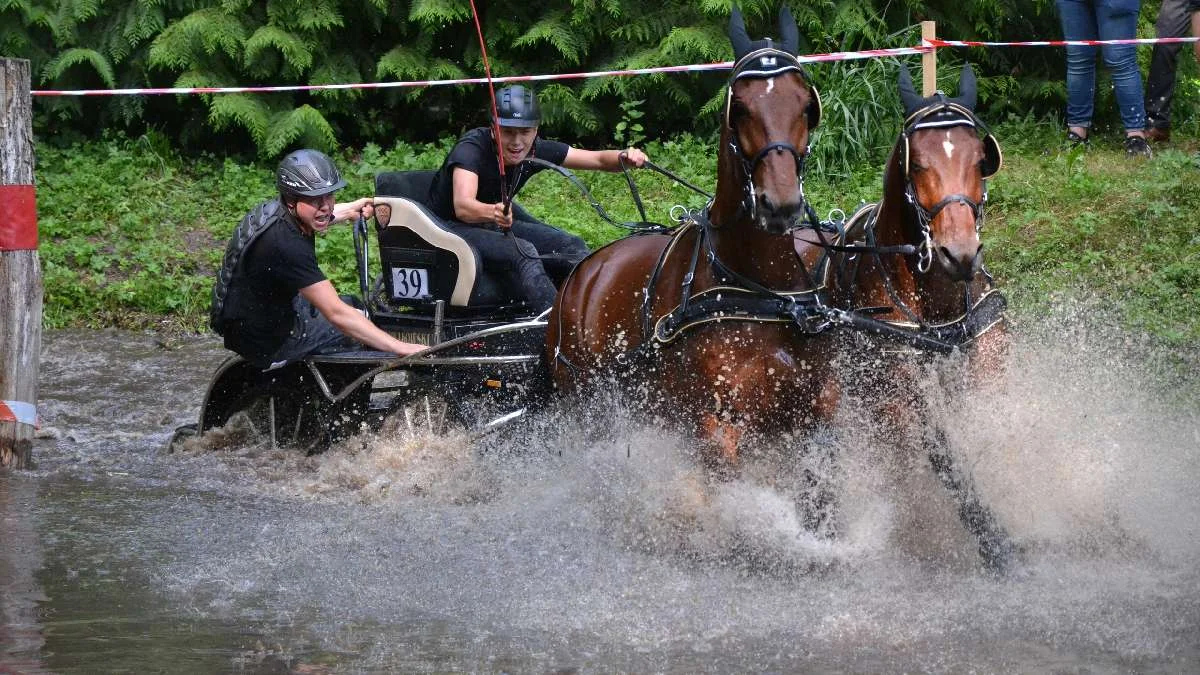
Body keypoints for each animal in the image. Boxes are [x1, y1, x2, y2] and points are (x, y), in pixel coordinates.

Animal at [547, 5, 835, 468]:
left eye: (808, 106)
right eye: (739, 108)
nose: (780, 204)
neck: (757, 291)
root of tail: (580, 274)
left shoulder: (809, 415)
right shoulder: (715, 429)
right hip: (584, 405)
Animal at [811, 63, 1017, 566]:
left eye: (980, 160)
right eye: (917, 163)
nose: (959, 254)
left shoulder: (985, 366)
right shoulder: (897, 396)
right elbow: (944, 458)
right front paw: (993, 540)